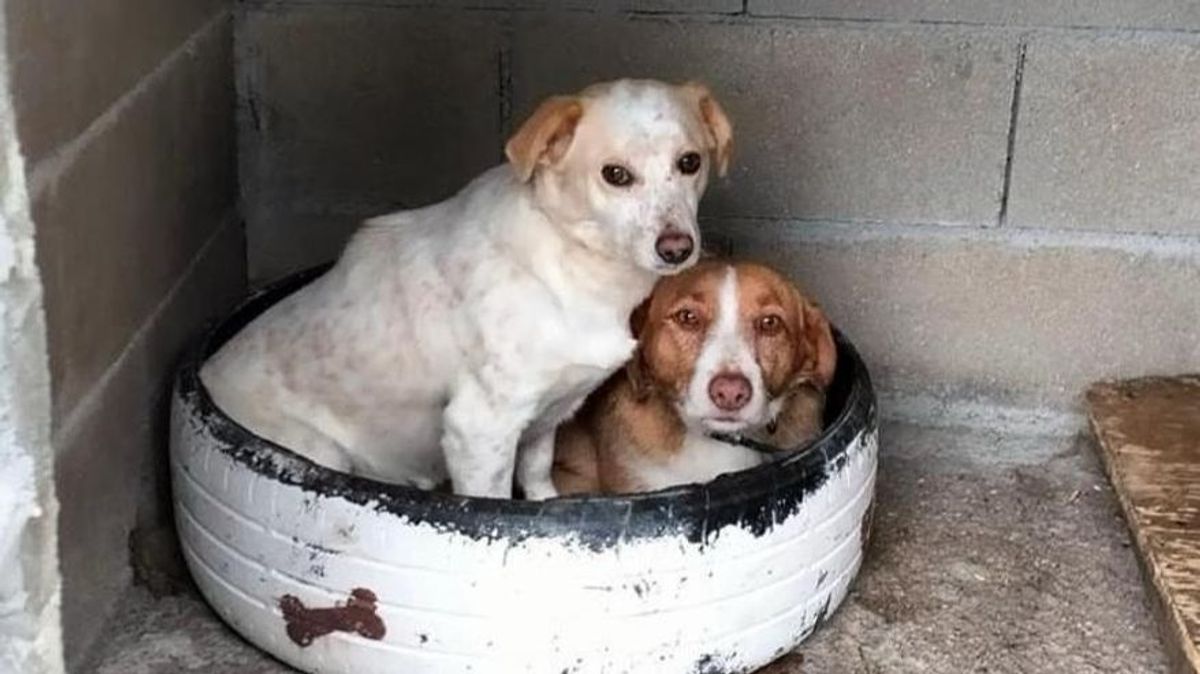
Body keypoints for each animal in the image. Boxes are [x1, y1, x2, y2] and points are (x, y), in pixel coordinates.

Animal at [199, 79, 729, 498]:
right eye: (615, 175)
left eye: (690, 162)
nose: (677, 249)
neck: (576, 262)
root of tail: (203, 375)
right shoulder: (478, 428)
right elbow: (493, 502)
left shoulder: (545, 418)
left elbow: (537, 479)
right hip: (318, 451)